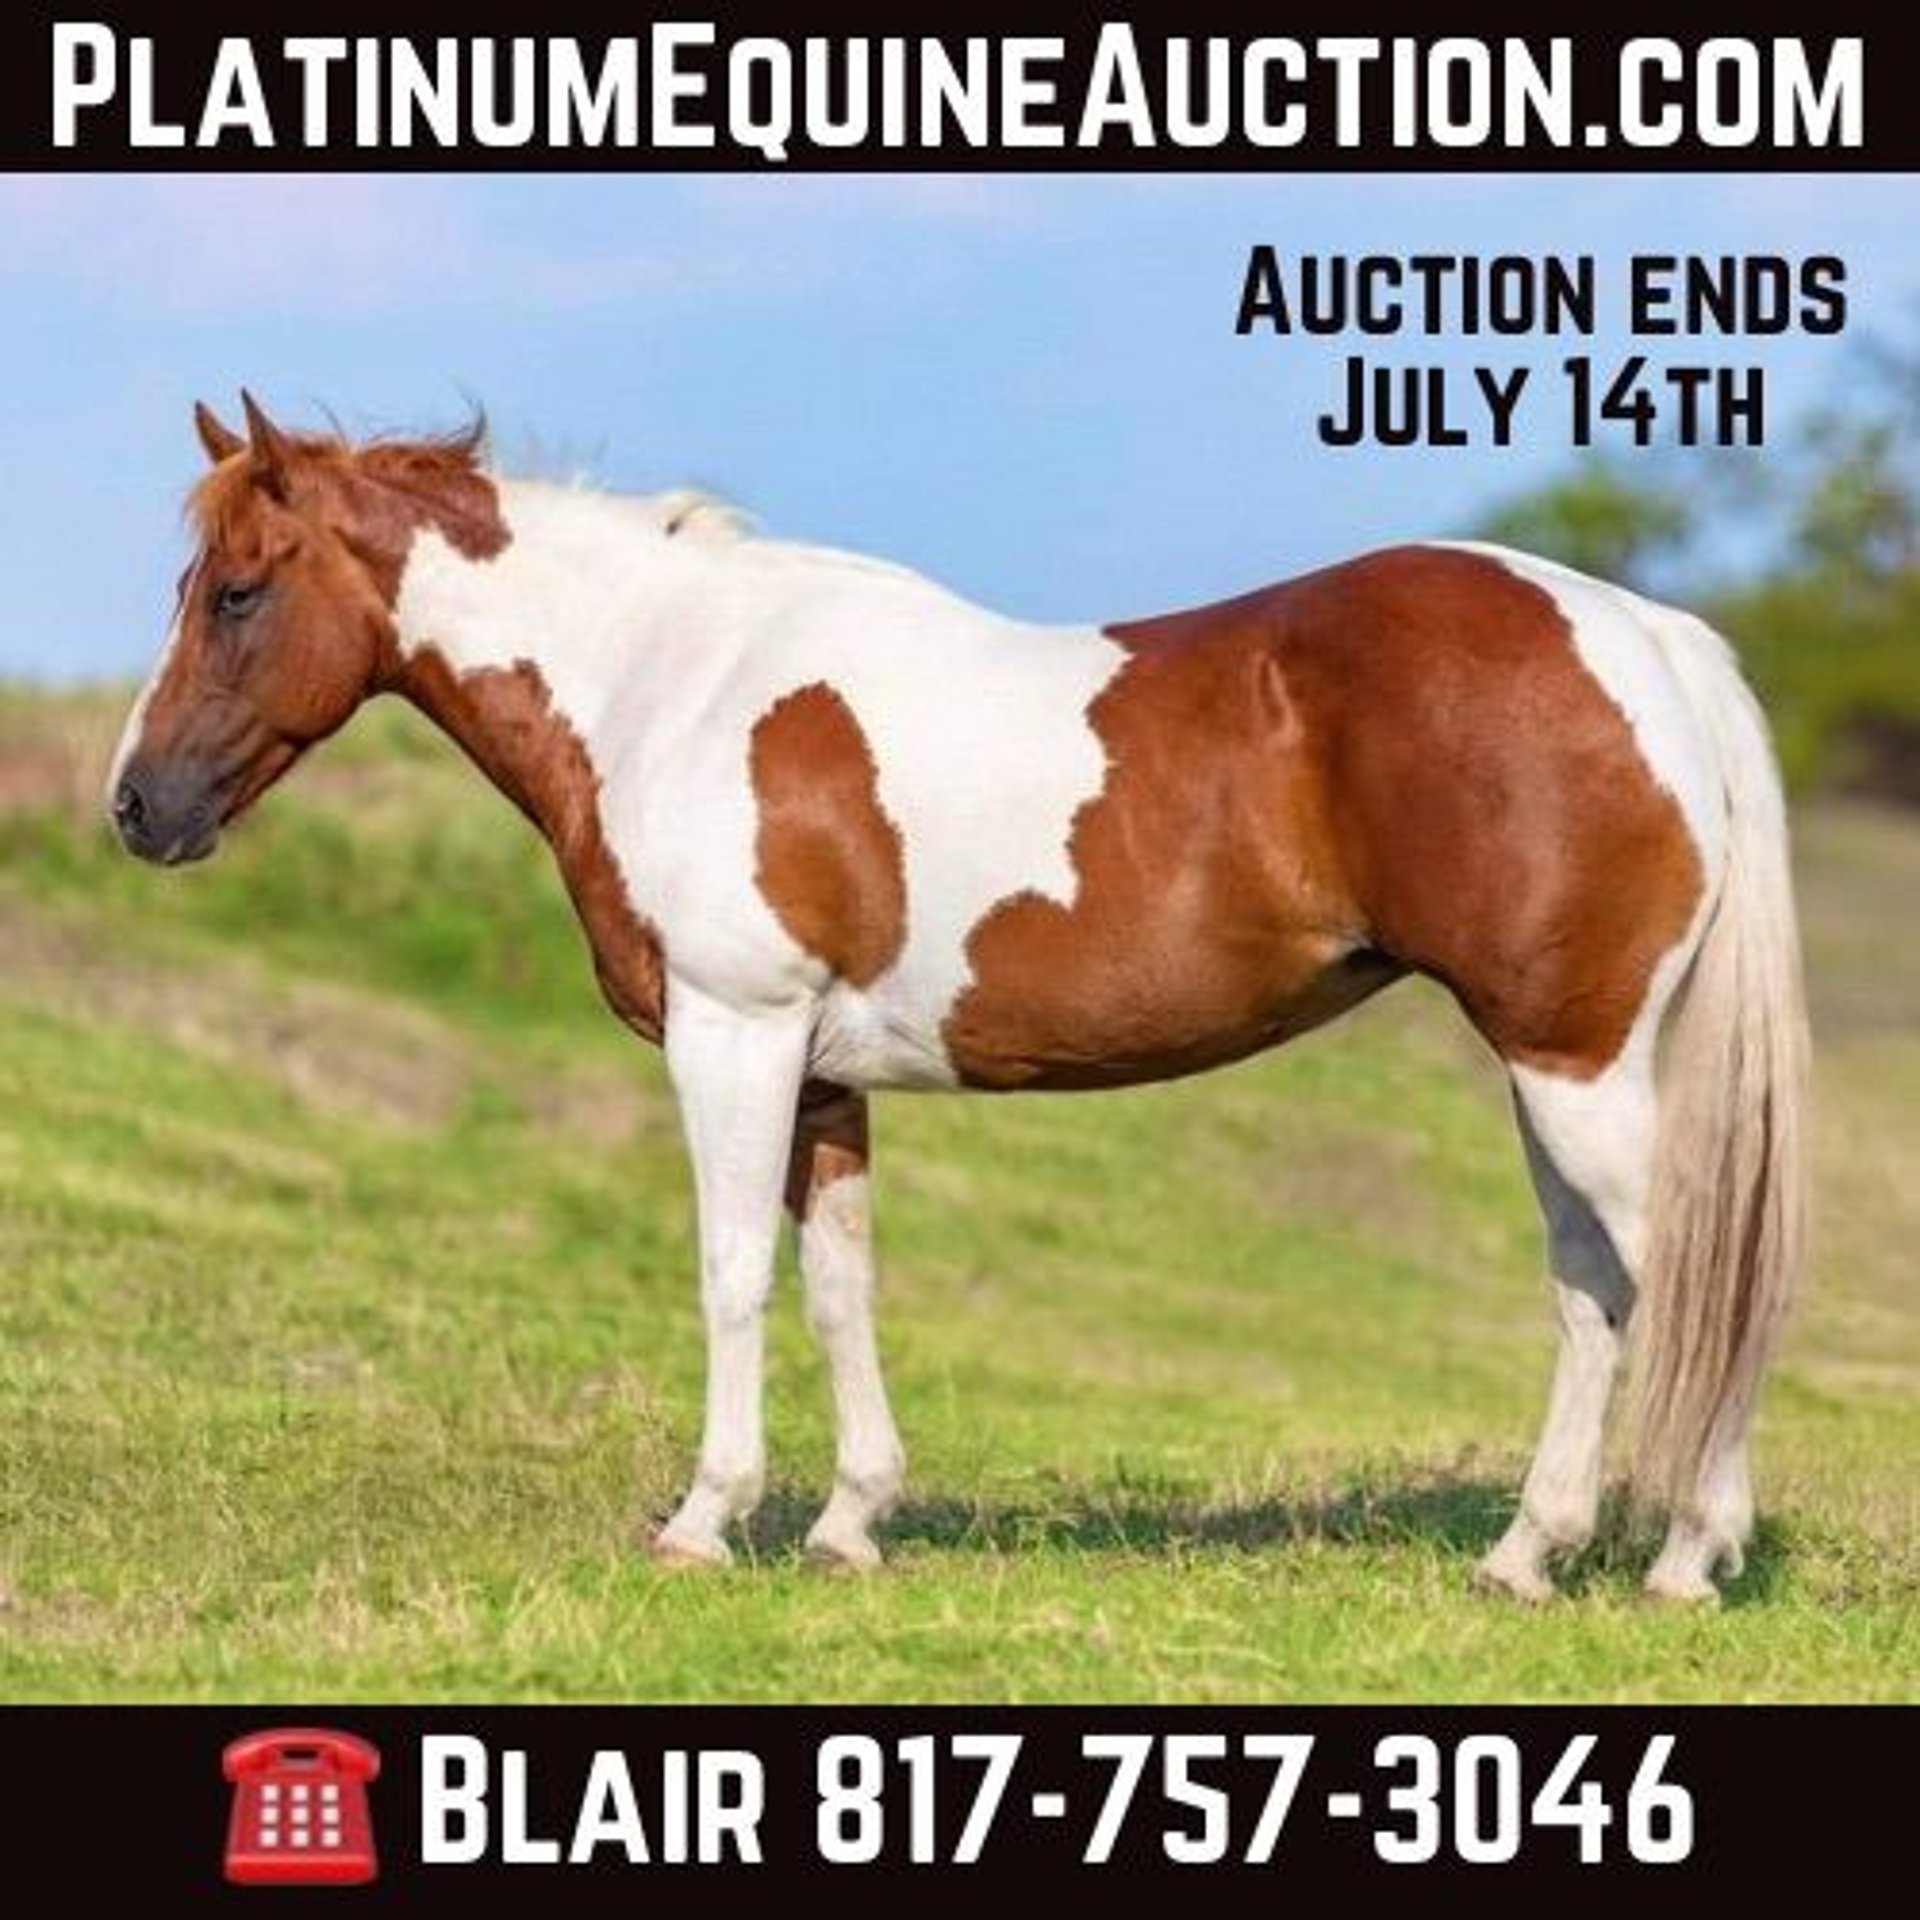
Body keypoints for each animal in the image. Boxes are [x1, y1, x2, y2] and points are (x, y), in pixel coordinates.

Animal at [110, 394, 1807, 1602]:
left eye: (241, 592)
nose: (136, 809)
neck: (672, 684)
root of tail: (1642, 635)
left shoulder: (734, 1037)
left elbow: (732, 1273)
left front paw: (707, 1520)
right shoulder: (821, 1072)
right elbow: (840, 1284)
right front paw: (850, 1522)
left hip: (1574, 1062)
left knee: (1691, 1277)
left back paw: (1684, 1556)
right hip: (1557, 1068)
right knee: (1594, 1286)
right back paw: (1528, 1555)